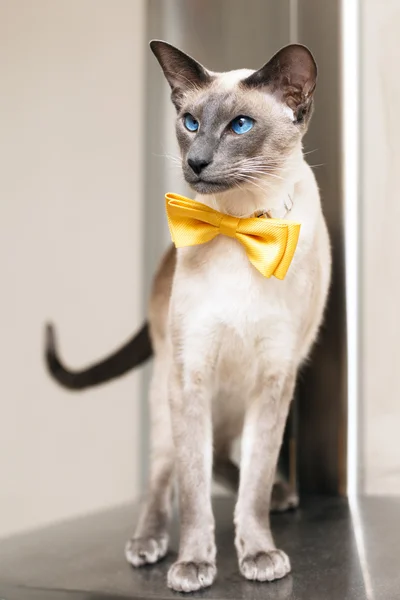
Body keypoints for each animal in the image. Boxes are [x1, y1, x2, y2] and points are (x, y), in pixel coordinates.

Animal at [45, 39, 332, 592]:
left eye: (240, 125)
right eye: (191, 122)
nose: (196, 163)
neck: (239, 223)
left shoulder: (274, 378)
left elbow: (254, 480)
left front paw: (258, 553)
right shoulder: (191, 374)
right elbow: (194, 490)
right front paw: (196, 565)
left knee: (228, 460)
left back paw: (281, 496)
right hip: (167, 395)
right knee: (167, 473)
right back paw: (149, 543)